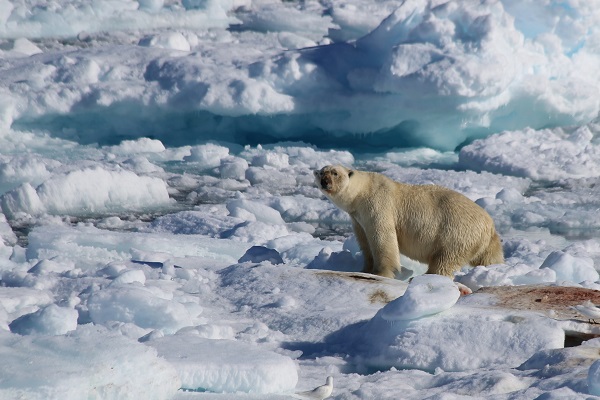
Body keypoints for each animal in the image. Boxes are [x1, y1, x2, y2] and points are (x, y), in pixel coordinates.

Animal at [316, 165, 504, 284]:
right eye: (321, 173)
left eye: (335, 173)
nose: (325, 182)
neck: (362, 192)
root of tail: (489, 225)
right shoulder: (357, 217)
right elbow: (364, 242)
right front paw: (365, 269)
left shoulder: (378, 204)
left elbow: (382, 238)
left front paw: (382, 273)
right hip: (481, 241)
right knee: (489, 257)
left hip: (457, 232)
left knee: (445, 259)